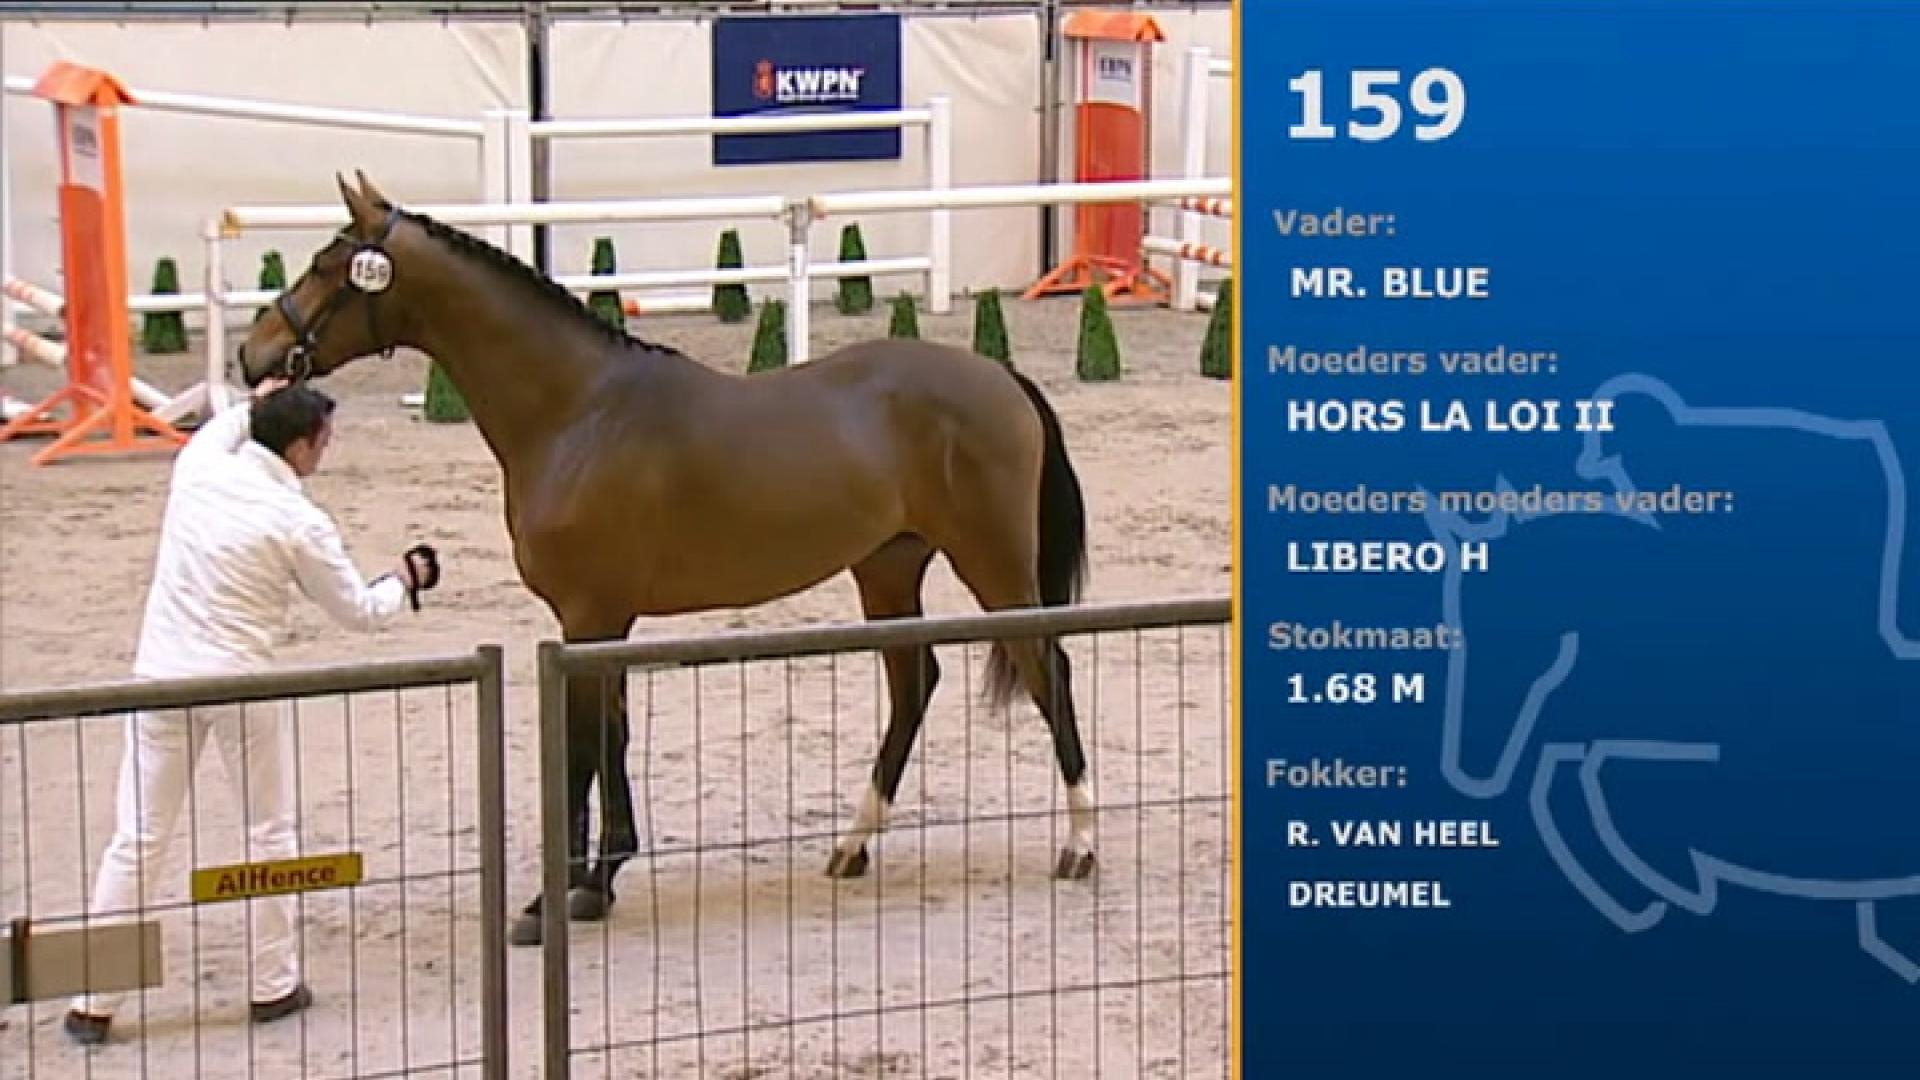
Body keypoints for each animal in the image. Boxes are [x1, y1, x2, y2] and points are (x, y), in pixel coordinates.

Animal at [235, 172, 1098, 947]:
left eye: (326, 265)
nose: (252, 352)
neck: (578, 410)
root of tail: (1002, 377)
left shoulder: (589, 616)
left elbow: (583, 747)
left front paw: (553, 902)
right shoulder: (600, 621)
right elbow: (611, 736)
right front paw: (600, 882)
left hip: (993, 565)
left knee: (1048, 672)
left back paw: (1080, 845)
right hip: (887, 568)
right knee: (914, 685)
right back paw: (853, 845)